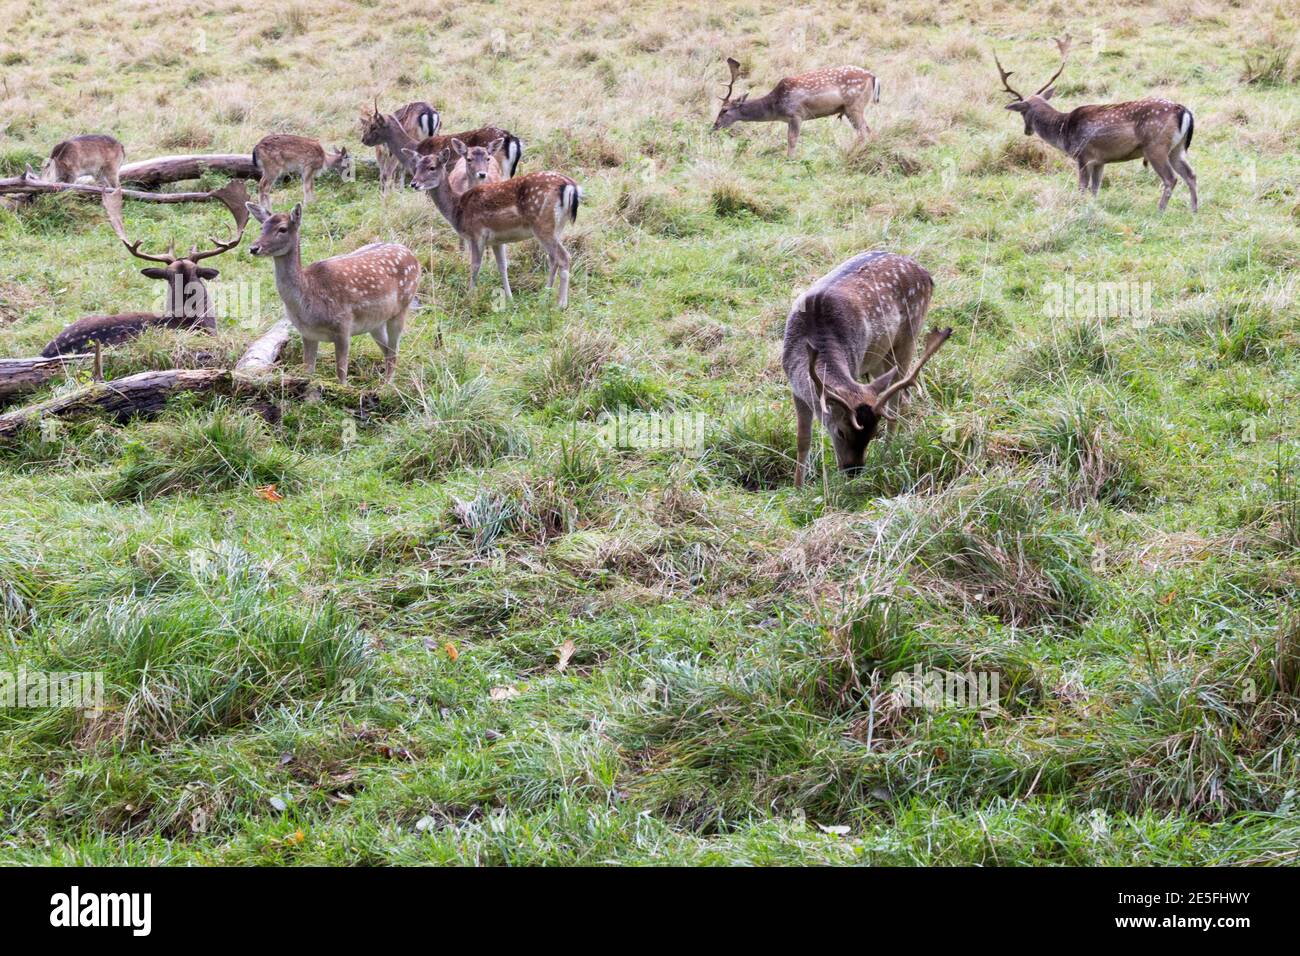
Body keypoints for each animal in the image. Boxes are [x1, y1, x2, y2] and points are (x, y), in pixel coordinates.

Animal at [245, 201, 418, 385]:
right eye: (262, 227)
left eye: (282, 229)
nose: (254, 248)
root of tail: (413, 256)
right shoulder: (307, 333)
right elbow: (308, 371)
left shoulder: (343, 326)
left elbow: (341, 374)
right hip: (375, 322)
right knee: (387, 350)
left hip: (403, 306)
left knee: (394, 350)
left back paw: (386, 385)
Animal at [408, 139, 582, 306]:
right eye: (416, 167)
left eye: (431, 167)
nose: (413, 183)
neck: (457, 209)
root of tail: (571, 187)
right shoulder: (497, 240)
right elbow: (502, 266)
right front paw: (510, 298)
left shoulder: (476, 234)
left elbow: (475, 265)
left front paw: (470, 296)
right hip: (557, 227)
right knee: (553, 259)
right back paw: (545, 295)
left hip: (542, 224)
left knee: (563, 257)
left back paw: (561, 304)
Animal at [712, 56, 883, 158]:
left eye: (724, 110)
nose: (714, 126)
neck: (776, 106)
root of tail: (873, 76)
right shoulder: (790, 119)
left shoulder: (796, 114)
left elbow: (792, 139)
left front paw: (790, 160)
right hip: (851, 109)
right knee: (867, 131)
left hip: (854, 106)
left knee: (864, 132)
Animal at [780, 251, 956, 489]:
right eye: (840, 432)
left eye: (873, 433)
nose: (853, 470)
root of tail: (927, 275)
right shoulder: (796, 389)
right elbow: (803, 440)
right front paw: (798, 487)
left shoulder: (853, 366)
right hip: (878, 358)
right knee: (904, 397)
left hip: (908, 336)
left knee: (897, 401)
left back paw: (888, 452)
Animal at [993, 36, 1196, 212]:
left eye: (1022, 111)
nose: (1027, 131)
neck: (1063, 130)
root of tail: (1183, 110)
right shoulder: (1100, 160)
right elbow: (1095, 189)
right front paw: (1093, 207)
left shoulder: (1083, 155)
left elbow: (1082, 187)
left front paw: (1080, 207)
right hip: (1176, 148)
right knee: (1191, 174)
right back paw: (1194, 210)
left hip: (1156, 146)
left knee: (1171, 179)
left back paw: (1160, 210)